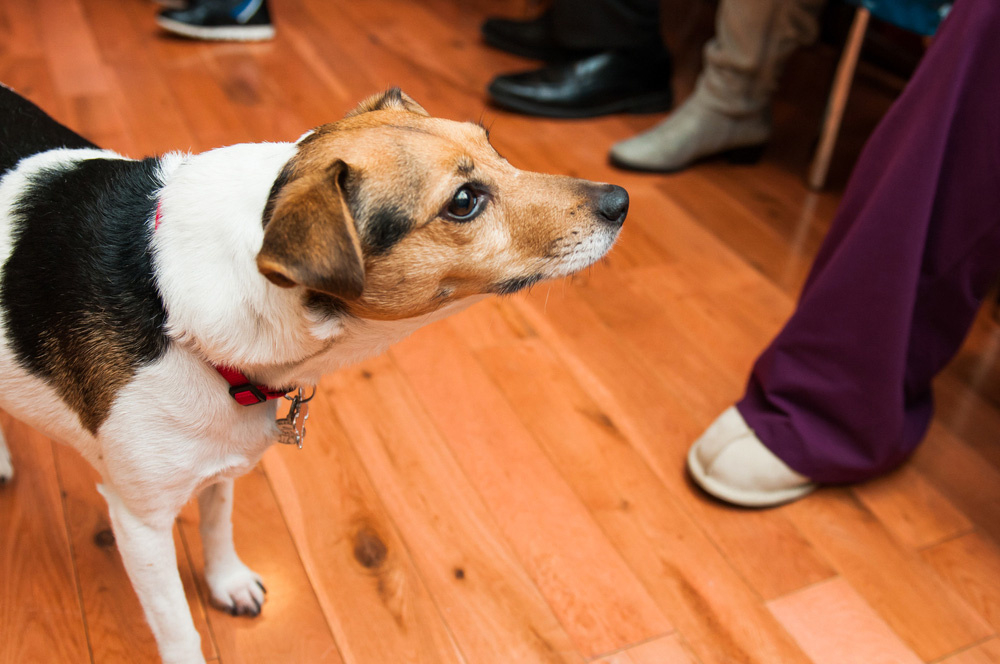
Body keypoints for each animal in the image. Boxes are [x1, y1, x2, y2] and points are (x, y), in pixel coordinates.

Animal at [0, 84, 624, 664]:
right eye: (464, 202)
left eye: (492, 144)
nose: (620, 199)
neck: (168, 300)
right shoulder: (139, 522)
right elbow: (178, 628)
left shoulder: (219, 460)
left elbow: (216, 523)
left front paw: (226, 582)